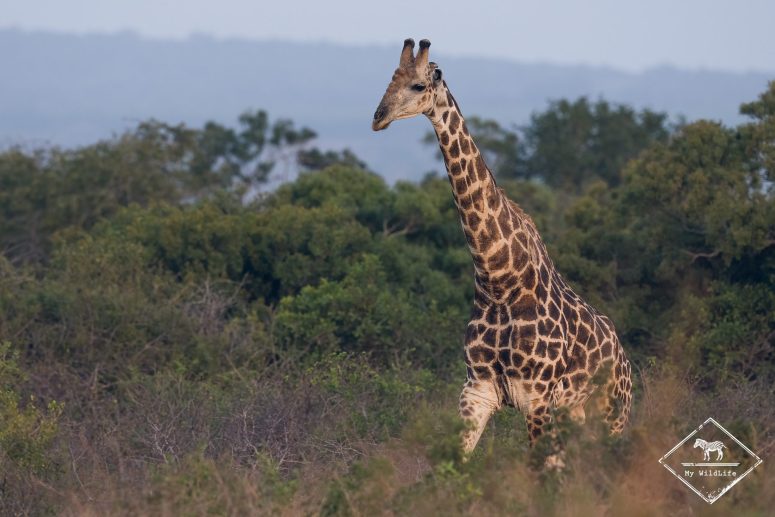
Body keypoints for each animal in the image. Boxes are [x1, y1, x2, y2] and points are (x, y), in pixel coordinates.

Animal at [372, 38, 632, 453]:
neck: (498, 279)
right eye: (390, 79)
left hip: (612, 417)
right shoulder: (477, 390)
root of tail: (625, 362)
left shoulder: (537, 396)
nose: (378, 117)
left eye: (417, 85)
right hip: (578, 417)